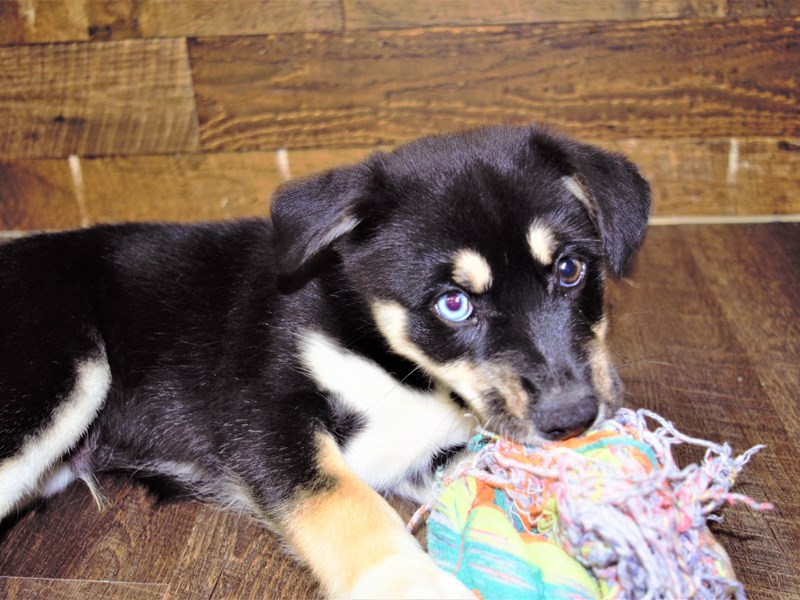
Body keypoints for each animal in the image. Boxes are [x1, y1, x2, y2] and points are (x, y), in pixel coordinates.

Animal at [0, 124, 648, 596]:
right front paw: (409, 583)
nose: (573, 419)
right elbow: (342, 498)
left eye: (570, 269)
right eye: (453, 303)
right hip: (61, 372)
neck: (395, 360)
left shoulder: (431, 451)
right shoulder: (263, 419)